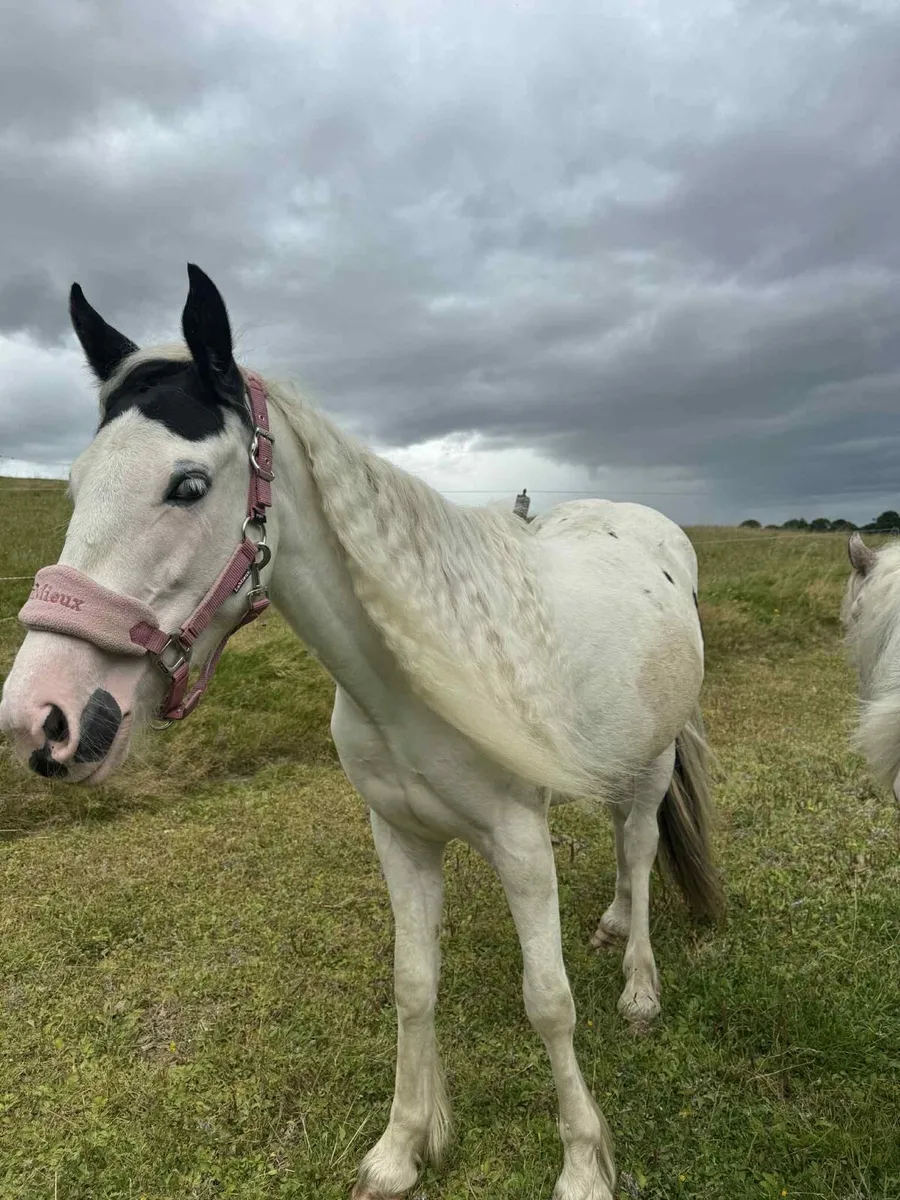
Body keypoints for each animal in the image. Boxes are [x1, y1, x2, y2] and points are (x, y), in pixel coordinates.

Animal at [0, 265, 723, 1200]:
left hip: (653, 761)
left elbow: (549, 1001)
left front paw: (582, 1163)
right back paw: (610, 927)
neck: (413, 671)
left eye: (187, 484)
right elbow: (414, 984)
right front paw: (403, 1146)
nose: (42, 717)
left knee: (637, 845)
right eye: (77, 486)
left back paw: (639, 987)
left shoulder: (520, 843)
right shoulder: (401, 836)